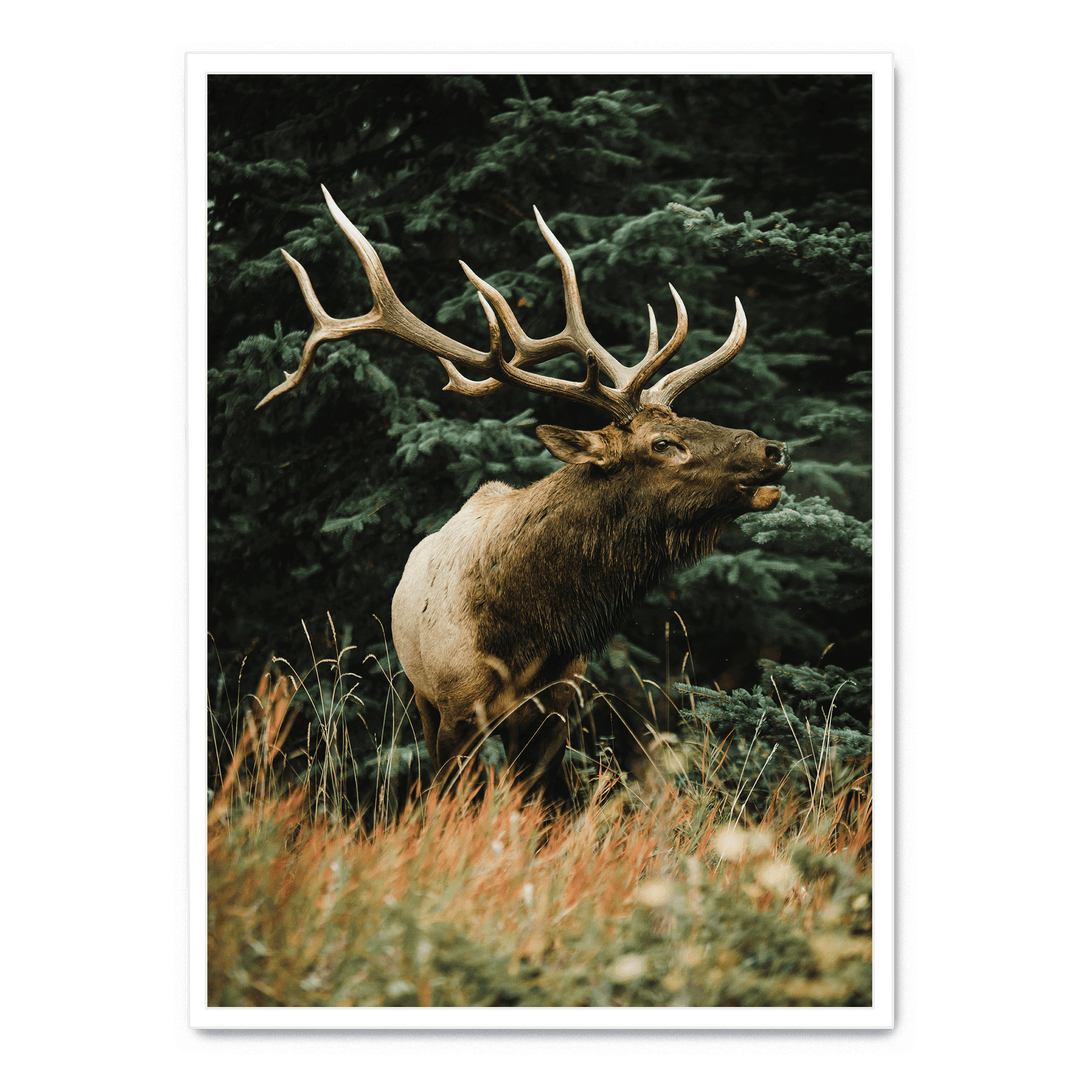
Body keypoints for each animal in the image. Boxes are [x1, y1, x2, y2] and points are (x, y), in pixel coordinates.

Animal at [257, 186, 791, 797]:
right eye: (662, 443)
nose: (773, 450)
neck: (528, 635)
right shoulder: (456, 705)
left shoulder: (558, 708)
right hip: (419, 693)